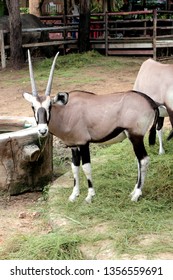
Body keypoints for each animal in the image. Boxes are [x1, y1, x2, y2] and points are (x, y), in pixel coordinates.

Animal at [23, 50, 159, 203]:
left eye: (50, 106)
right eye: (33, 107)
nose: (42, 130)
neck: (66, 111)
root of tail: (150, 102)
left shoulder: (84, 143)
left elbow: (86, 167)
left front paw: (89, 196)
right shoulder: (74, 146)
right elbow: (74, 167)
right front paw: (74, 195)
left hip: (136, 136)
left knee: (143, 160)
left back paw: (137, 194)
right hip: (134, 138)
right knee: (138, 160)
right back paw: (133, 191)